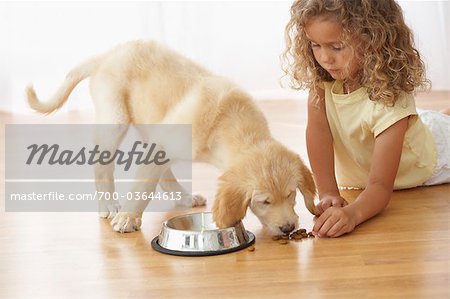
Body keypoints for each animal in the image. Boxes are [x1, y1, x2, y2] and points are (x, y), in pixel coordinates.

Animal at [25, 40, 316, 237]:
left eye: (291, 194)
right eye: (264, 201)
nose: (289, 227)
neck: (232, 122)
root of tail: (108, 54)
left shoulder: (161, 142)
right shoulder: (162, 144)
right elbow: (142, 186)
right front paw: (128, 218)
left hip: (151, 124)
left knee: (162, 173)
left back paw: (185, 198)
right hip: (115, 118)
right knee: (102, 166)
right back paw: (109, 203)